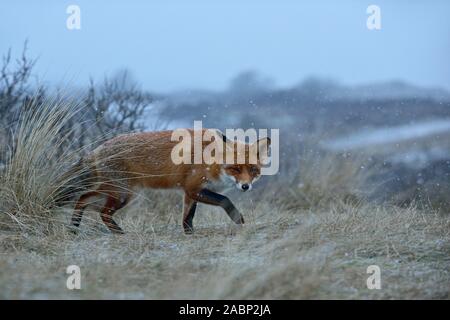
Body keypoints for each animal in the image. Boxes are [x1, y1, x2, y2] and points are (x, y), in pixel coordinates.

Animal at [67, 129, 270, 234]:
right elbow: (225, 200)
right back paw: (120, 234)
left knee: (84, 198)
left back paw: (73, 229)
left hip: (118, 192)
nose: (245, 186)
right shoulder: (193, 188)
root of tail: (97, 149)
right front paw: (238, 219)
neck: (211, 159)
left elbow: (188, 218)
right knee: (103, 212)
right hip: (122, 194)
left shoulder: (191, 192)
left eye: (253, 170)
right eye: (235, 169)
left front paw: (189, 234)